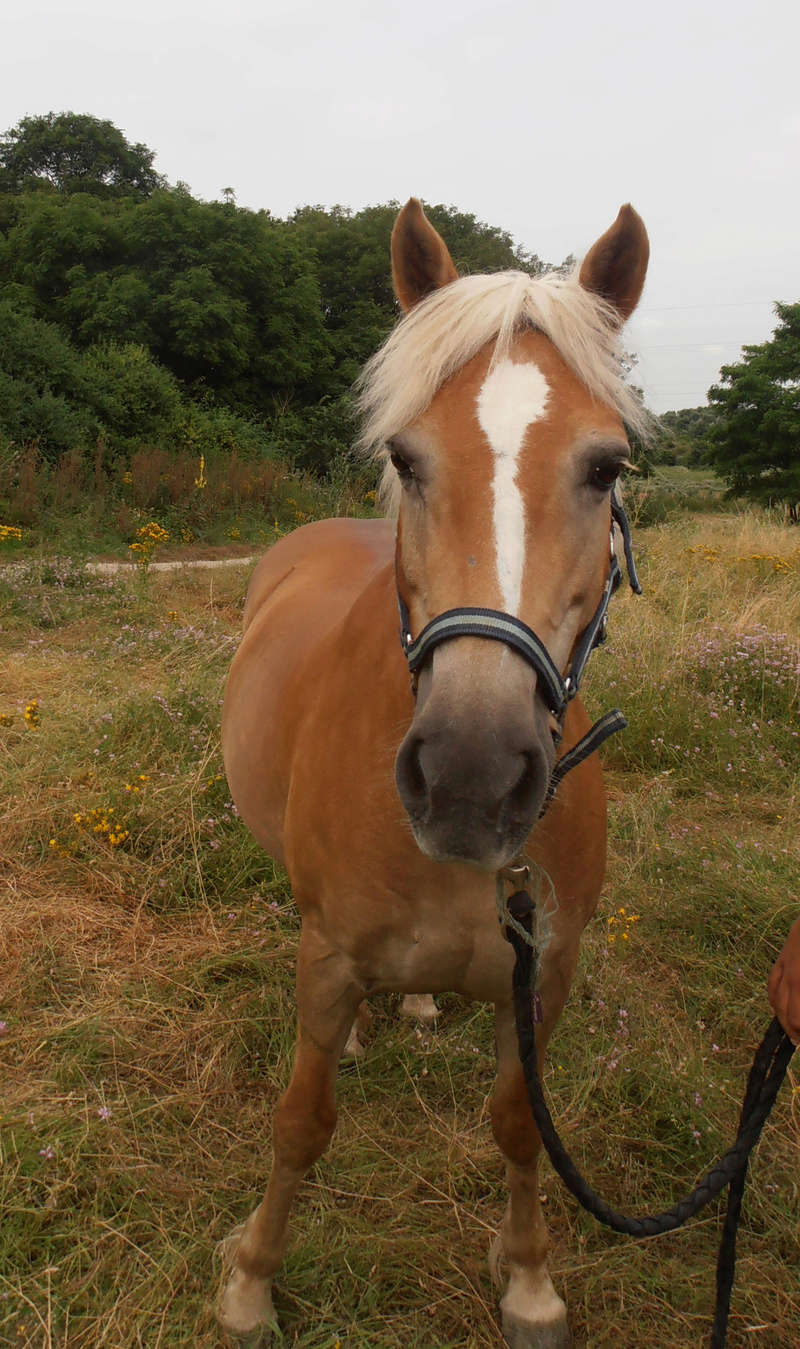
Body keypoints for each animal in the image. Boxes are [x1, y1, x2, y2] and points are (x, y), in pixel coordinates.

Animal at [217, 195, 647, 1343]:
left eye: (606, 467)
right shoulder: (325, 960)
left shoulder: (544, 973)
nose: (468, 775)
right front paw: (250, 1278)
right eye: (407, 459)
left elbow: (520, 1125)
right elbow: (300, 1119)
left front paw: (528, 1276)